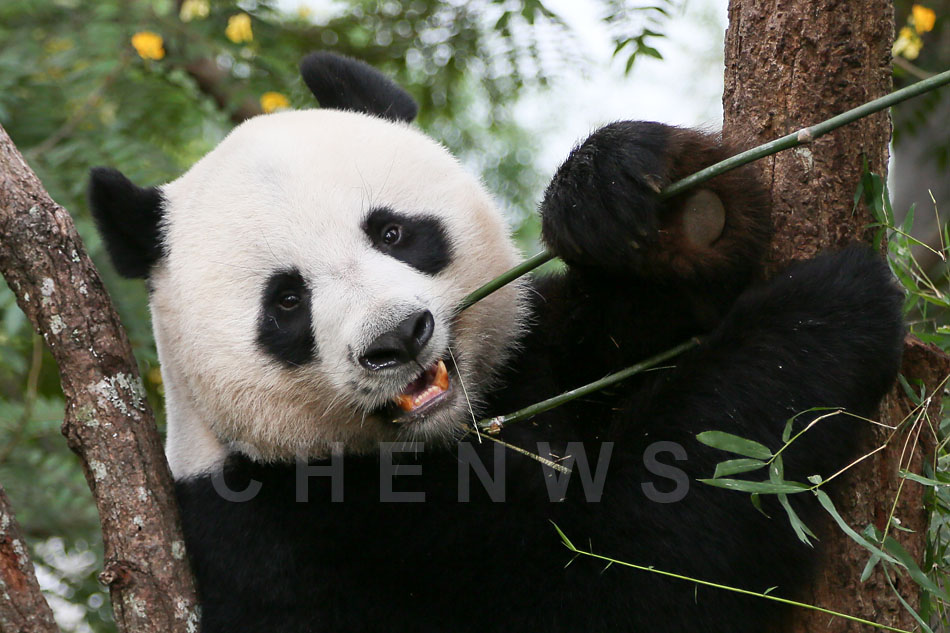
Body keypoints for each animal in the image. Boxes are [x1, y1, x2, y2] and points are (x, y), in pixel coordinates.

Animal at [89, 51, 908, 628]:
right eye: (287, 301)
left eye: (393, 231)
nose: (398, 338)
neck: (451, 435)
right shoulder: (310, 531)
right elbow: (615, 579)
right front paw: (826, 313)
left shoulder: (535, 361)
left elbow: (631, 328)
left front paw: (648, 198)